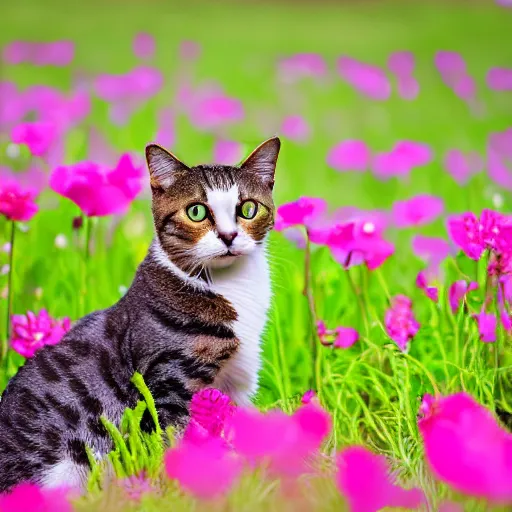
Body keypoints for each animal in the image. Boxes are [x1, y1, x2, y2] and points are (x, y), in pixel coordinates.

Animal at [0, 135, 280, 492]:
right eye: (196, 211)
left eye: (248, 209)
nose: (229, 236)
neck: (229, 287)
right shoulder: (168, 381)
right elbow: (172, 439)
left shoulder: (236, 386)